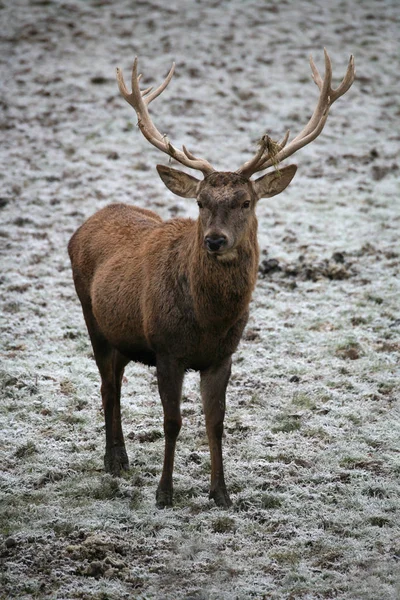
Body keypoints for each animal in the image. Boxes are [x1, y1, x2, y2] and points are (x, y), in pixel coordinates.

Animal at [69, 49, 356, 506]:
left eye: (245, 201)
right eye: (201, 201)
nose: (215, 240)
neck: (208, 320)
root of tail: (88, 221)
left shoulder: (223, 355)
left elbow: (216, 422)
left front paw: (221, 493)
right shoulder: (167, 349)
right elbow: (172, 422)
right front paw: (164, 493)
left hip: (123, 333)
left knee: (116, 380)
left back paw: (123, 457)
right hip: (90, 315)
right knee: (107, 386)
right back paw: (113, 461)